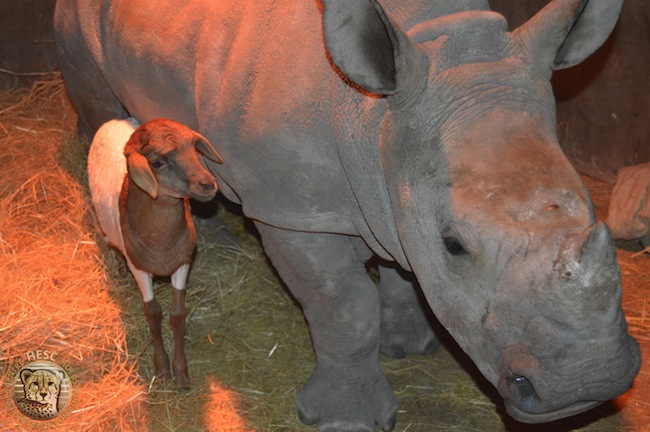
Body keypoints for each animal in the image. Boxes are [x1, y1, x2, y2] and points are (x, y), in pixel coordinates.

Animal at [88, 117, 223, 388]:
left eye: (194, 148)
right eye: (157, 162)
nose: (208, 184)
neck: (162, 244)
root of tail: (113, 120)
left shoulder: (182, 263)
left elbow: (177, 315)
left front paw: (180, 373)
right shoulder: (139, 268)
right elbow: (153, 314)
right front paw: (162, 368)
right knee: (111, 245)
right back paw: (118, 267)